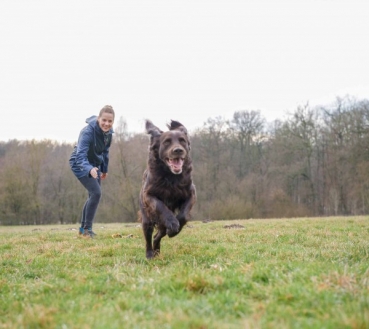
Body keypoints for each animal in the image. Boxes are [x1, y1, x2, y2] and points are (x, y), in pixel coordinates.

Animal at [138, 119, 196, 258]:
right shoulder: (149, 195)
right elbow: (160, 205)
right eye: (167, 142)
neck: (171, 177)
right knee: (149, 236)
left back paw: (158, 250)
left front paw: (175, 228)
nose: (178, 150)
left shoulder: (191, 193)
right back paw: (150, 254)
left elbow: (183, 215)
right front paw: (173, 223)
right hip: (147, 217)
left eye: (182, 140)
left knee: (157, 235)